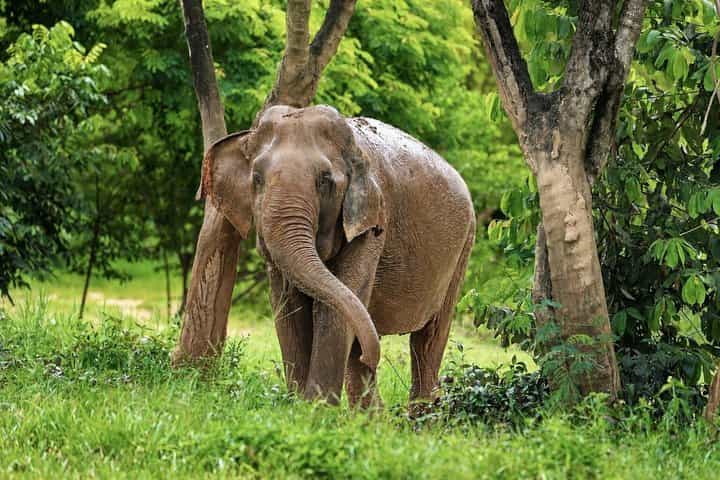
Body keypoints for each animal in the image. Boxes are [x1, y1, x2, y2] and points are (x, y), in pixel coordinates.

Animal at [203, 105, 475, 408]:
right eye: (257, 178)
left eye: (325, 181)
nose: (374, 355)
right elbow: (288, 305)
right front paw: (298, 407)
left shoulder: (373, 222)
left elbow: (337, 304)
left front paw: (315, 410)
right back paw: (374, 415)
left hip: (464, 247)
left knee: (427, 340)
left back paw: (421, 414)